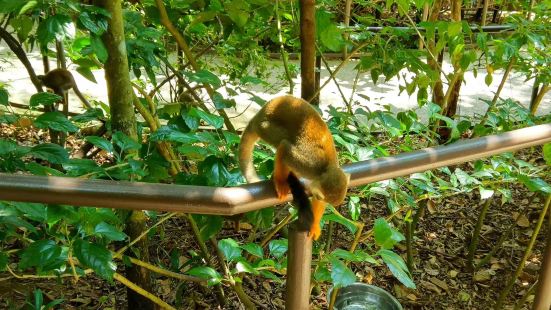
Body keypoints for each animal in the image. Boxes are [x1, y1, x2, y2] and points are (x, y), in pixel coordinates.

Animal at [238, 95, 350, 240]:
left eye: (320, 198)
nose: (317, 196)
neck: (324, 170)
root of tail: (259, 114)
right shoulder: (308, 165)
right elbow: (285, 149)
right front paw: (280, 182)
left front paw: (314, 225)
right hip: (265, 127)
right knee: (283, 140)